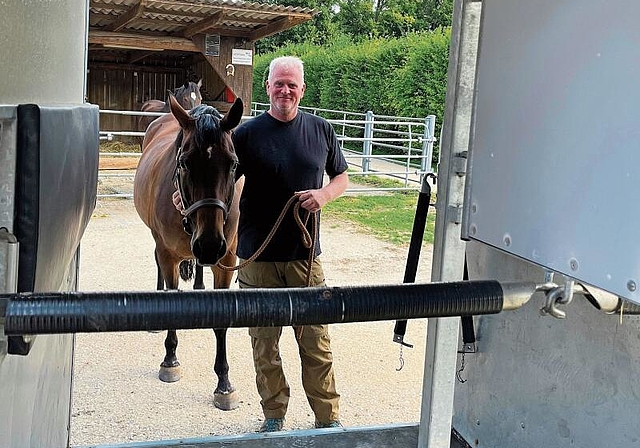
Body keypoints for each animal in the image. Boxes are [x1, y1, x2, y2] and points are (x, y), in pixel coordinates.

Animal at [134, 96, 244, 412]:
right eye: (184, 162)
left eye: (233, 164)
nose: (209, 244)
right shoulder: (168, 254)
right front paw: (169, 361)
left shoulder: (226, 259)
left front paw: (224, 384)